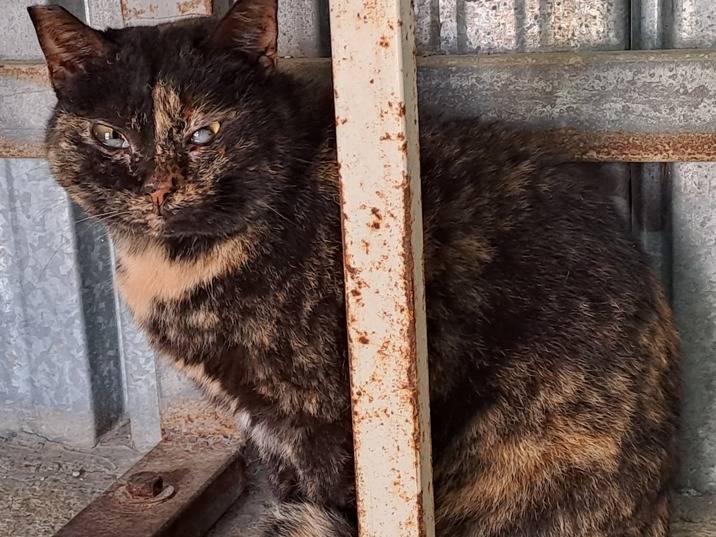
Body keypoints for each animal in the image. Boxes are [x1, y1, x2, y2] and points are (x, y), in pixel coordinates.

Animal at [29, 2, 680, 536]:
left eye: (204, 133)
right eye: (111, 137)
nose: (158, 188)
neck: (175, 264)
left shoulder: (325, 416)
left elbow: (327, 501)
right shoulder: (268, 426)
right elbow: (289, 491)